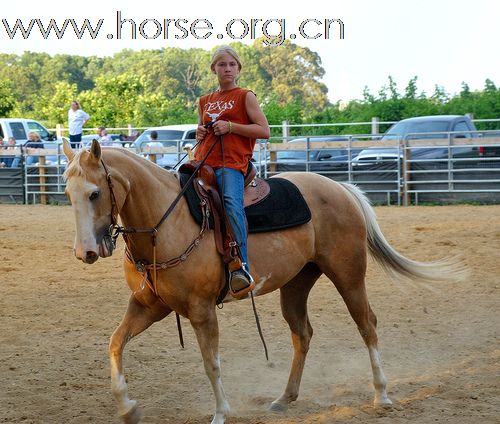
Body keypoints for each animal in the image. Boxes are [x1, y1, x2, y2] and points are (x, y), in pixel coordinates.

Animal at [62, 141, 460, 422]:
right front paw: (127, 407)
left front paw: (221, 413)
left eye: (95, 193)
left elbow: (211, 362)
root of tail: (339, 187)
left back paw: (382, 395)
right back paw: (285, 398)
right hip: (297, 283)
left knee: (367, 325)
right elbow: (115, 343)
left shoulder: (201, 310)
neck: (166, 223)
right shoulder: (149, 306)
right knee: (302, 334)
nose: (86, 251)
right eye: (68, 193)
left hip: (348, 276)